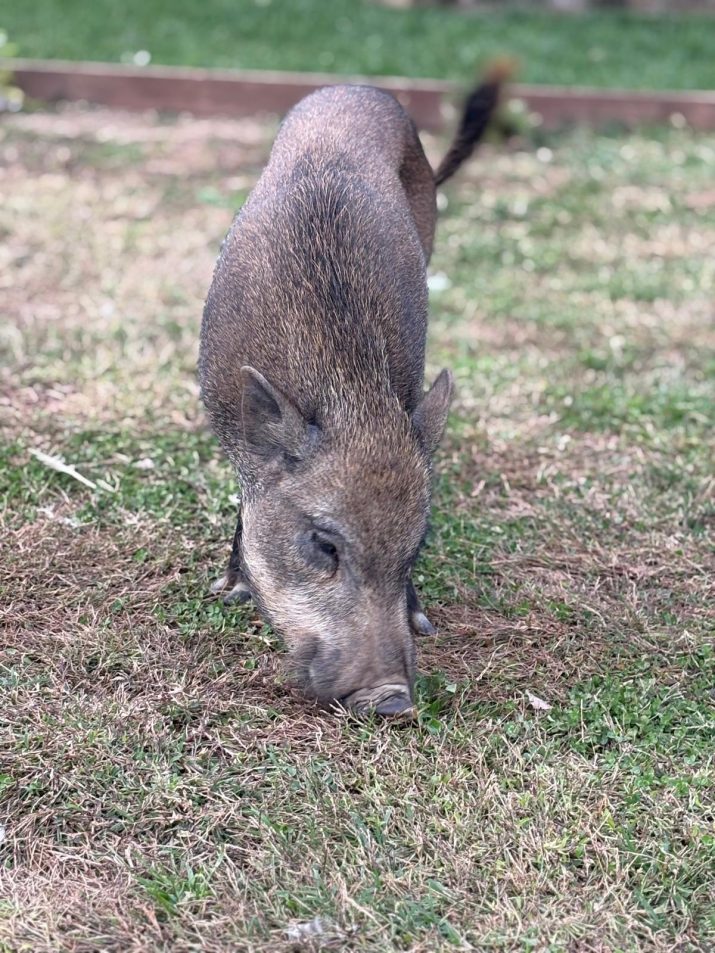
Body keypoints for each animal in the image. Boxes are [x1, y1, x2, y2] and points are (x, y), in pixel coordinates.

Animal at [199, 65, 506, 712]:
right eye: (324, 544)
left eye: (415, 548)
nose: (394, 700)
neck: (346, 390)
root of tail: (355, 88)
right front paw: (228, 589)